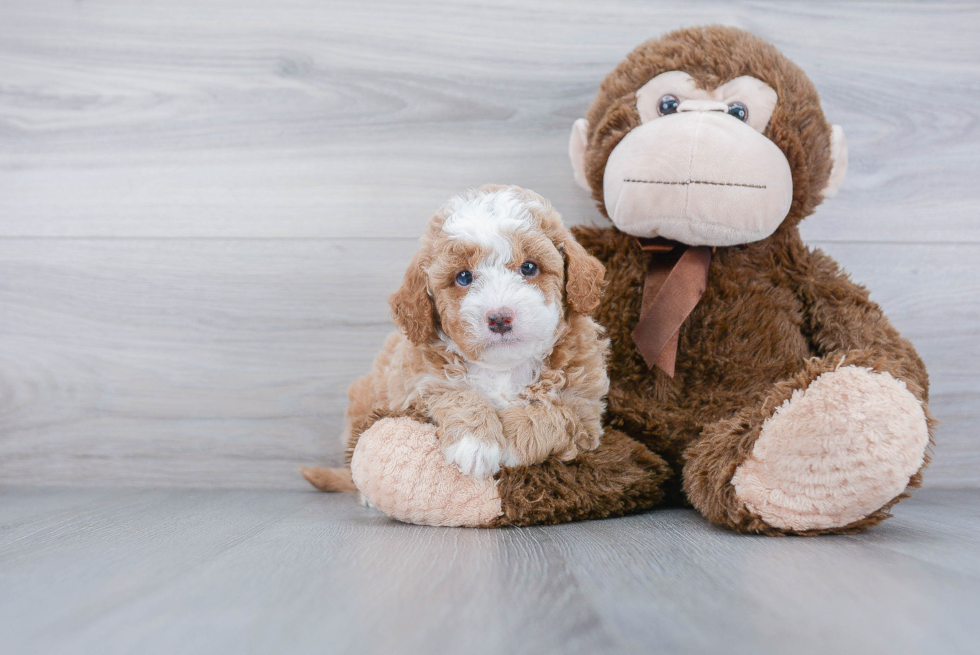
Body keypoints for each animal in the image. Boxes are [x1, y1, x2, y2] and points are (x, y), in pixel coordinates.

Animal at [302, 184, 608, 492]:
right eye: (463, 277)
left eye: (530, 268)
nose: (499, 318)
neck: (503, 369)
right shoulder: (419, 384)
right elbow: (456, 393)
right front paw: (476, 442)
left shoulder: (585, 411)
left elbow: (553, 414)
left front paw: (510, 438)